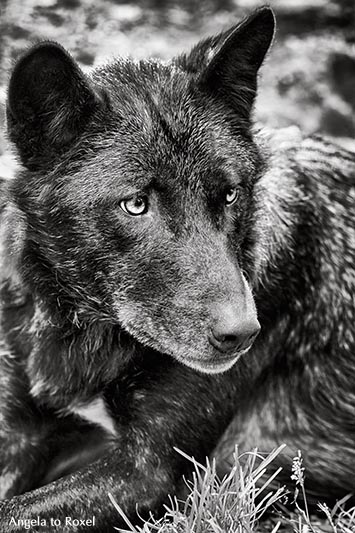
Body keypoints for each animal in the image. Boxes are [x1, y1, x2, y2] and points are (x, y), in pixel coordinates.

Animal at [0, 5, 355, 532]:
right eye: (135, 205)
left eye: (230, 195)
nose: (242, 335)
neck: (84, 332)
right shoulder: (25, 434)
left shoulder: (149, 470)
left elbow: (12, 512)